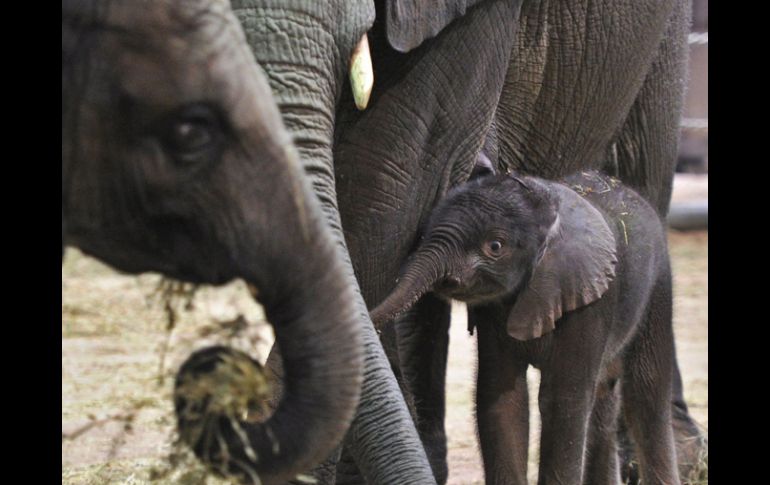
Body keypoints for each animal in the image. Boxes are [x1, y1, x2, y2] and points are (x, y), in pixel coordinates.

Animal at [372, 170, 680, 484]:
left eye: (495, 246)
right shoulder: (494, 312)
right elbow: (502, 396)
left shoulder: (588, 302)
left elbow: (561, 401)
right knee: (605, 398)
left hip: (658, 285)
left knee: (647, 390)